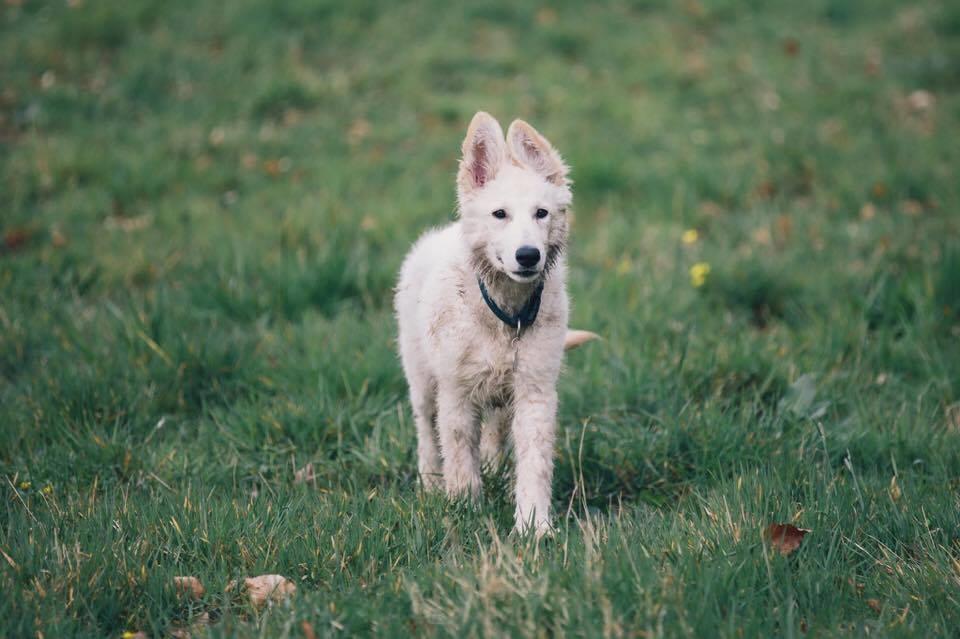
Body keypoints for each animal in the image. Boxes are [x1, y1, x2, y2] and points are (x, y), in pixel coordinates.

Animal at [392, 111, 588, 536]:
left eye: (541, 213)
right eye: (500, 214)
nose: (528, 256)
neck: (505, 316)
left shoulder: (535, 391)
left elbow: (534, 462)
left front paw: (534, 526)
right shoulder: (456, 394)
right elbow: (459, 457)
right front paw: (464, 508)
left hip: (502, 396)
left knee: (496, 433)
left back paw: (496, 473)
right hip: (422, 379)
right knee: (426, 433)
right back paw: (430, 485)